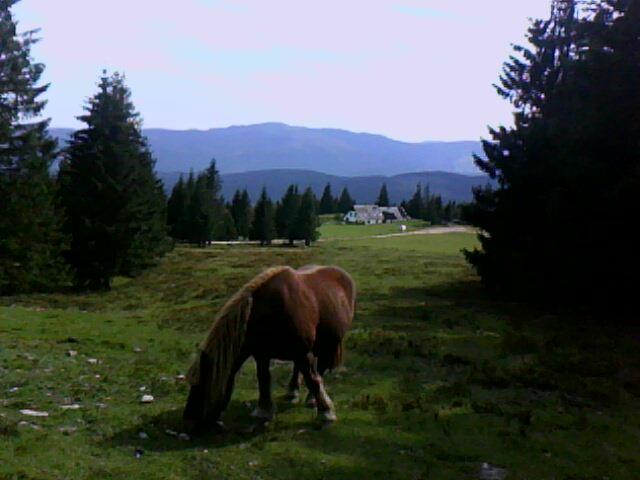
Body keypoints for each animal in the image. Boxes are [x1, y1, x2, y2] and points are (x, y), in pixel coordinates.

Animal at [182, 264, 358, 434]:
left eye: (201, 386)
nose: (188, 423)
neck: (270, 310)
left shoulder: (302, 352)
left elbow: (313, 381)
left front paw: (326, 414)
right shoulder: (262, 354)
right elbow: (264, 379)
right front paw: (263, 412)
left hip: (327, 345)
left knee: (319, 369)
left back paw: (311, 399)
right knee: (298, 369)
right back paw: (292, 392)